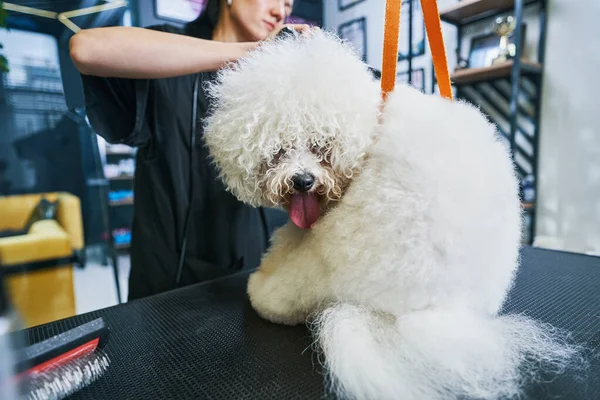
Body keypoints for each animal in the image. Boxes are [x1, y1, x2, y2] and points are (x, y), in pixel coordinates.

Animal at [203, 29, 580, 398]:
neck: (370, 131)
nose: (303, 181)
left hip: (329, 261)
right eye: (278, 151)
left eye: (321, 146)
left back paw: (262, 290)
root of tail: (438, 306)